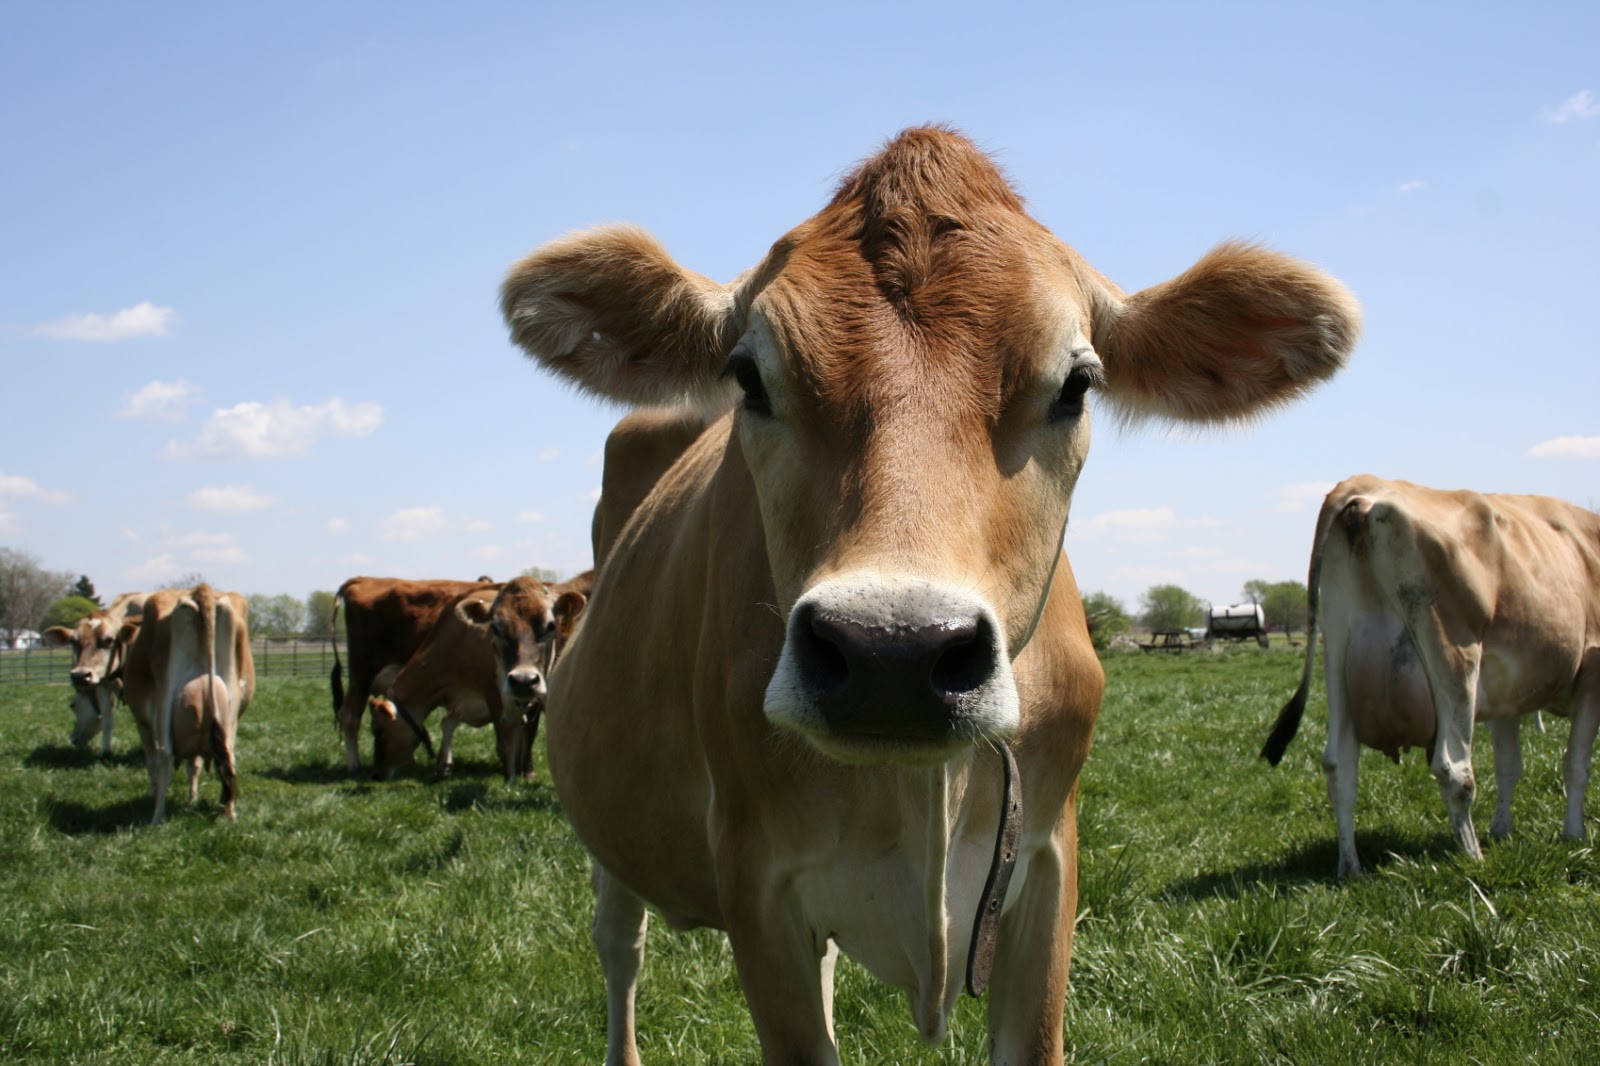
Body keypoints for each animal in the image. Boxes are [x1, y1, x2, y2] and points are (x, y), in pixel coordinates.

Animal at [41, 591, 146, 757]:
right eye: (73, 641)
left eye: (72, 705)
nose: (73, 739)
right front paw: (106, 753)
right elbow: (107, 719)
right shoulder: (104, 683)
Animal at [117, 585, 255, 824]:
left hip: (163, 702)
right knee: (229, 759)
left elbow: (152, 762)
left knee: (164, 758)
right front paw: (192, 799)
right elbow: (195, 765)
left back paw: (157, 818)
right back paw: (229, 813)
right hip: (229, 709)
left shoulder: (143, 724)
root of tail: (199, 590)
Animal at [368, 573, 591, 782]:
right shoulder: (462, 699)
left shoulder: (497, 694)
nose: (377, 774)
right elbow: (447, 723)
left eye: (377, 730)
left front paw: (513, 778)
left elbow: (509, 739)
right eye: (494, 627)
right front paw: (443, 767)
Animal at [500, 126, 1359, 1064]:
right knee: (621, 948)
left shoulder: (1047, 870)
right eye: (750, 377)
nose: (892, 654)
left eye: (1077, 384)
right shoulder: (757, 885)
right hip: (606, 830)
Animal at [1261, 475, 1600, 879]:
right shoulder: (1592, 675)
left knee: (1339, 765)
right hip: (1454, 656)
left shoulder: (1508, 696)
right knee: (1454, 769)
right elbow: (1576, 764)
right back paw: (1473, 859)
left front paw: (1502, 830)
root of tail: (1365, 486)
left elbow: (1509, 765)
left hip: (1338, 652)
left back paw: (1350, 867)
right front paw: (1573, 836)